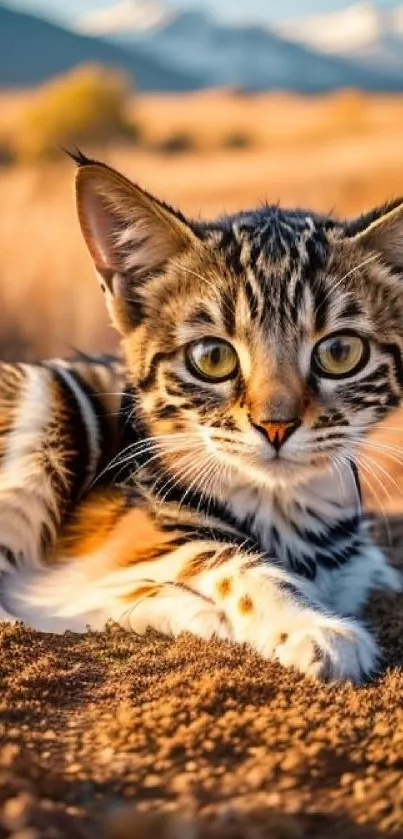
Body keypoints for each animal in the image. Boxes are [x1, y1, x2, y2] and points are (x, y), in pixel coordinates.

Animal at [0, 156, 403, 684]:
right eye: (213, 357)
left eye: (340, 352)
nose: (276, 426)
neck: (286, 513)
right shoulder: (129, 533)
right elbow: (222, 558)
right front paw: (313, 627)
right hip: (48, 404)